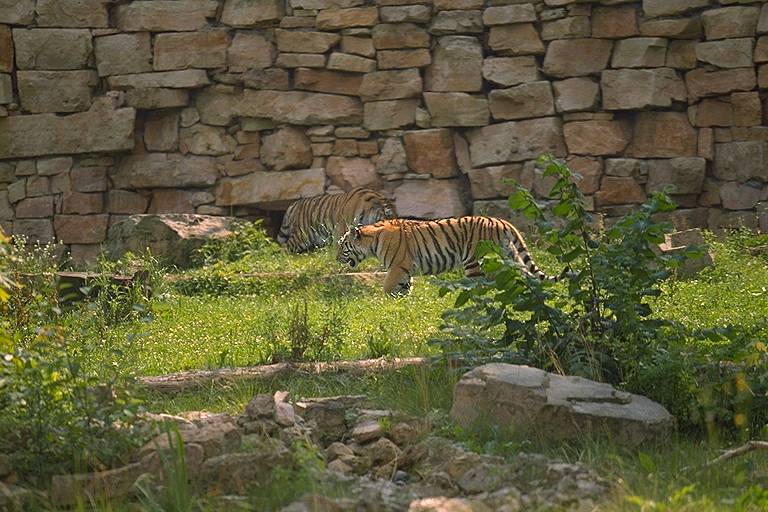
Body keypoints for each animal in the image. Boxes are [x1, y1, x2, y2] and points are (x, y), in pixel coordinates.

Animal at [336, 216, 566, 295]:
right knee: (524, 275)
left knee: (480, 286)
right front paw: (402, 305)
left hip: (475, 262)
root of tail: (502, 221)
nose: (336, 258)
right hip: (510, 255)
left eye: (342, 246)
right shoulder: (405, 270)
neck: (371, 241)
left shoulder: (398, 266)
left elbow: (387, 287)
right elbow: (404, 289)